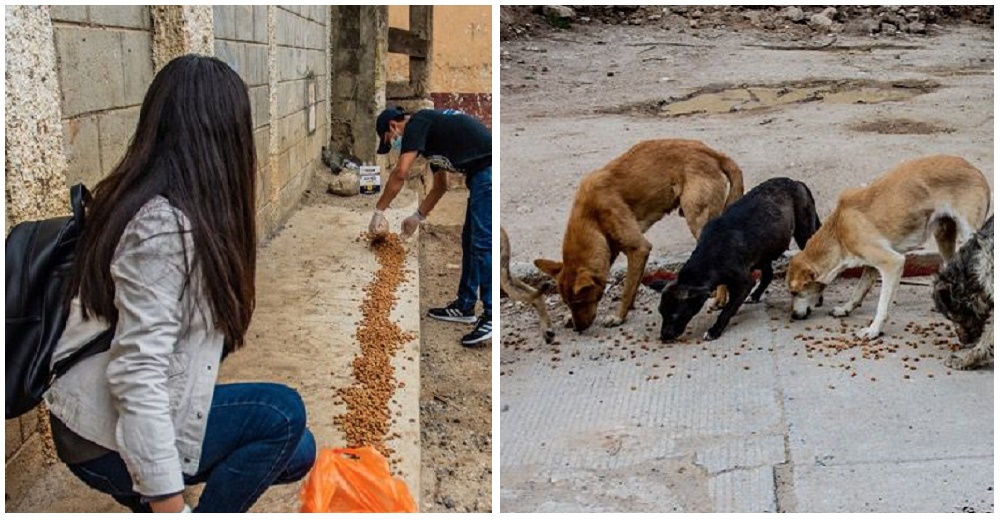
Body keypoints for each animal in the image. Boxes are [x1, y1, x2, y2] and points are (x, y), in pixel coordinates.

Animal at [532, 140, 744, 332]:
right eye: (568, 303)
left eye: (580, 302)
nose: (578, 329)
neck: (590, 218)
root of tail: (713, 153)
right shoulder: (618, 250)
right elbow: (633, 283)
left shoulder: (638, 248)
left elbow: (626, 289)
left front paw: (618, 317)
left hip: (698, 221)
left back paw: (720, 299)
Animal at [660, 177, 816, 344]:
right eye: (661, 312)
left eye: (674, 315)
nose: (663, 337)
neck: (710, 254)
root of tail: (795, 182)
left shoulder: (745, 283)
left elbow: (727, 310)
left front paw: (714, 330)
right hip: (763, 251)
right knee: (768, 274)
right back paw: (755, 295)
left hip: (804, 233)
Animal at [788, 154, 992, 342]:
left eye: (795, 292)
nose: (793, 316)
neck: (837, 231)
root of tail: (975, 169)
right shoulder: (870, 264)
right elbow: (858, 290)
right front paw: (846, 309)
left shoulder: (892, 263)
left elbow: (882, 305)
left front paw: (874, 330)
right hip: (943, 236)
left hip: (970, 235)